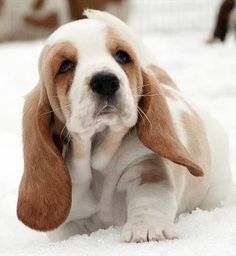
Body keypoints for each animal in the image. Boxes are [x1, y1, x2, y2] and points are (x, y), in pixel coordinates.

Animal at [16, 9, 232, 242]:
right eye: (65, 65)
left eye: (122, 56)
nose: (105, 81)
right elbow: (66, 230)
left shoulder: (146, 166)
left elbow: (149, 200)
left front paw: (146, 229)